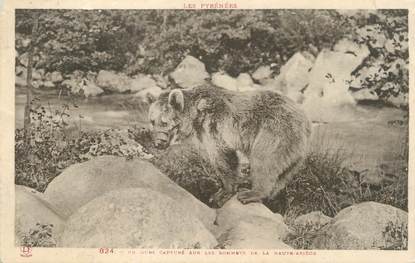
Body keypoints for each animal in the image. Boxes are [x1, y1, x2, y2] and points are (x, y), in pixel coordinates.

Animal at [150, 84, 312, 206]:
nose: (158, 143)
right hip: (295, 154)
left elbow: (222, 157)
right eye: (152, 121)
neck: (195, 116)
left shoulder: (213, 125)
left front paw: (222, 192)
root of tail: (306, 122)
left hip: (275, 131)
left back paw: (251, 193)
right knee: (283, 174)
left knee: (263, 159)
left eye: (163, 122)